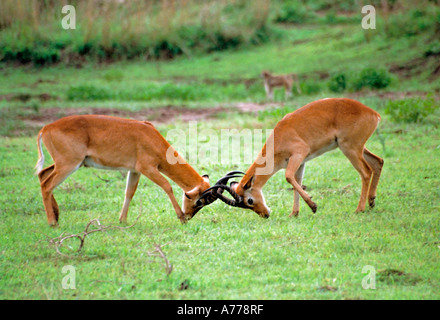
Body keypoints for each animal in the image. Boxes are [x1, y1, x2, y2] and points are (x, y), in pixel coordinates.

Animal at [35, 114, 220, 225]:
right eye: (198, 201)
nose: (188, 216)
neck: (151, 137)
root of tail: (46, 128)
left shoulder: (135, 171)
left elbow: (129, 192)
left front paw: (122, 221)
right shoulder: (147, 168)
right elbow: (167, 186)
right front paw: (180, 217)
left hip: (65, 164)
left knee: (42, 174)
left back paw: (56, 215)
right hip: (68, 164)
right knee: (47, 185)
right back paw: (52, 222)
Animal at [208, 97, 384, 218]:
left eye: (249, 201)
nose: (265, 214)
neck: (279, 137)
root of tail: (373, 113)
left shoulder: (299, 154)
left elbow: (288, 177)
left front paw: (313, 206)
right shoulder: (301, 162)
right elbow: (297, 182)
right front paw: (294, 213)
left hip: (350, 148)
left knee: (366, 172)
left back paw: (359, 209)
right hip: (358, 148)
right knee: (378, 162)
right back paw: (371, 202)